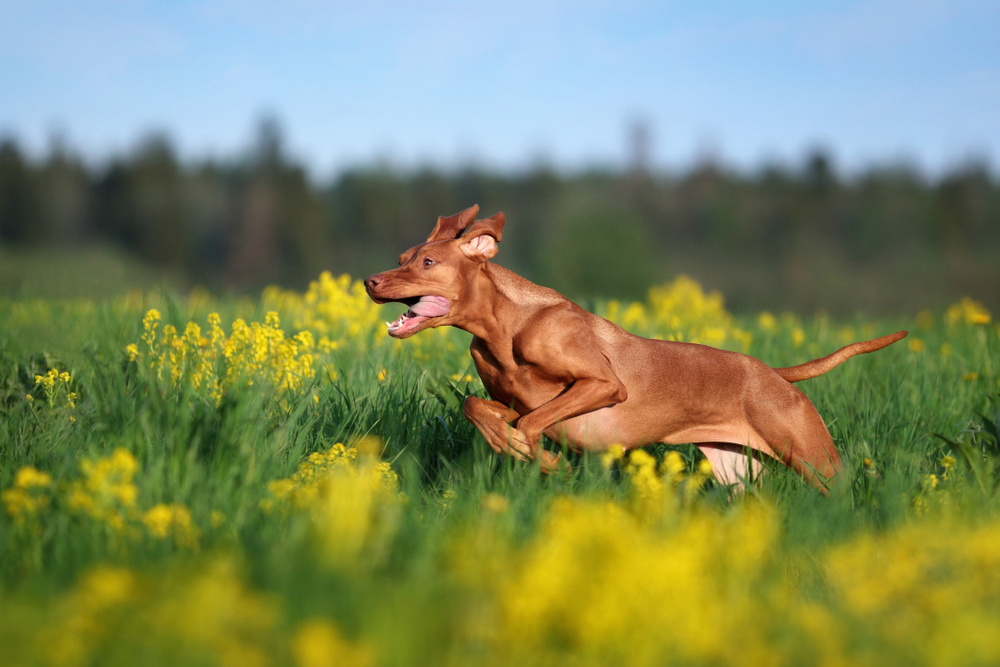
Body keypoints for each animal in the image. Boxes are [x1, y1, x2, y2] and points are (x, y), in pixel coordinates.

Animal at [366, 206, 908, 488]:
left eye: (428, 262)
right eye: (403, 257)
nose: (371, 282)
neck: (506, 325)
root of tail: (773, 374)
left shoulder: (604, 385)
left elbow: (533, 424)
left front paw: (539, 457)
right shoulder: (507, 398)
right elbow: (479, 407)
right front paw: (519, 448)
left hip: (814, 460)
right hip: (737, 472)